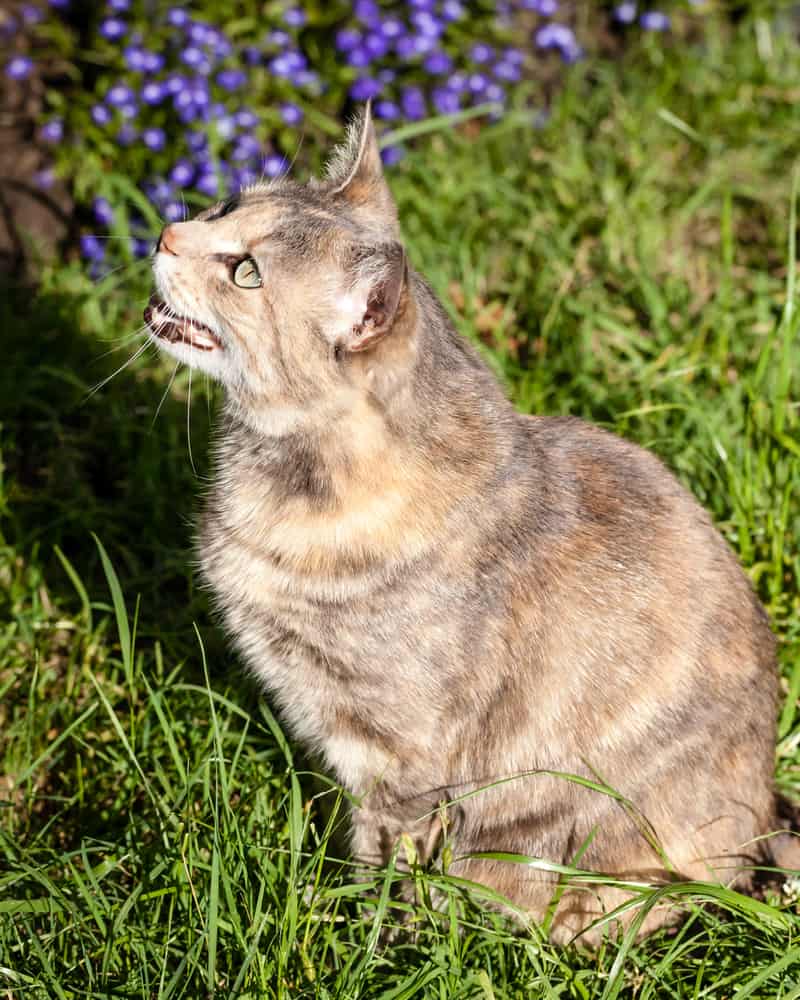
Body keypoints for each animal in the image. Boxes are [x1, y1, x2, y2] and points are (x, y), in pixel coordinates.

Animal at [144, 105, 792, 940]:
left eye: (245, 272)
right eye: (224, 206)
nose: (166, 231)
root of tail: (766, 819)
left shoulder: (400, 757)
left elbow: (383, 861)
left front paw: (364, 938)